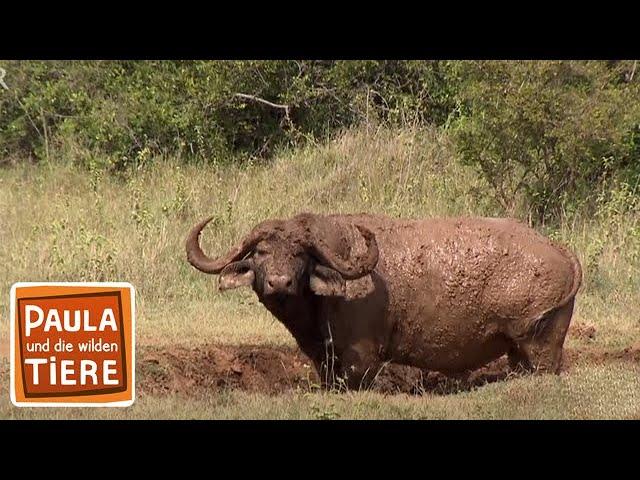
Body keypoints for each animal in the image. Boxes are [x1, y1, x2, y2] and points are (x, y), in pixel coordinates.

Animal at [184, 214, 580, 390]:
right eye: (262, 253)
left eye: (299, 254)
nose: (279, 282)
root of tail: (562, 253)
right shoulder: (324, 358)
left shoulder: (362, 358)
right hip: (517, 352)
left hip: (541, 344)